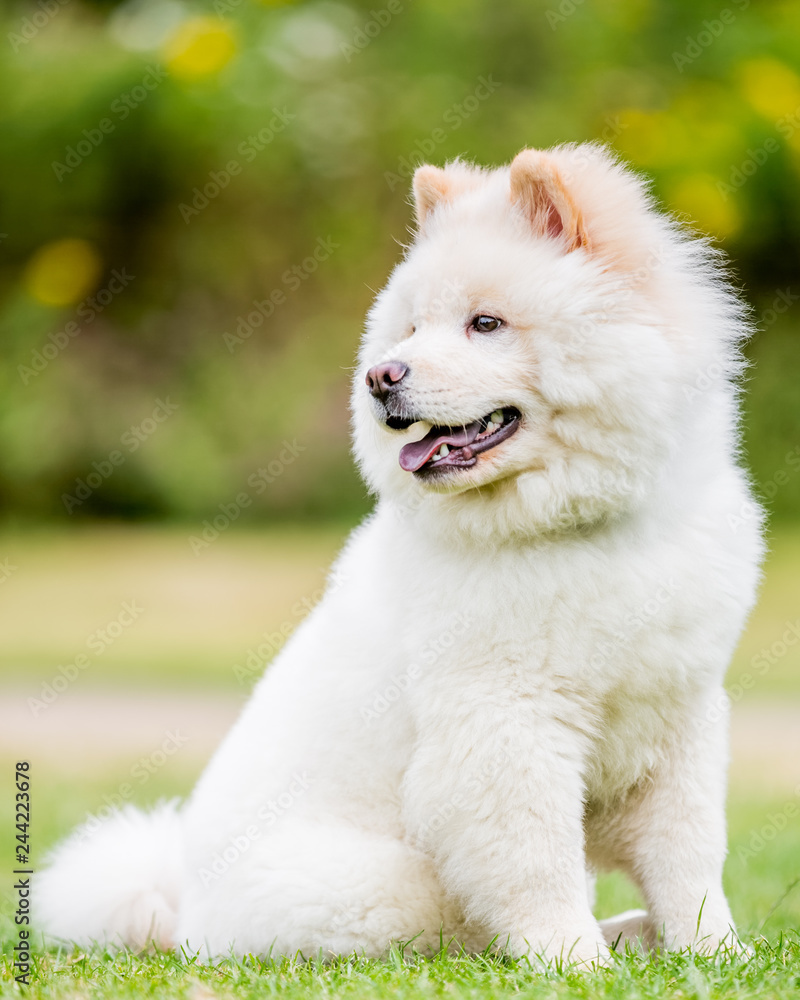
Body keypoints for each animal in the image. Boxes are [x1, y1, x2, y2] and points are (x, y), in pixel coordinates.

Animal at [37, 145, 764, 964]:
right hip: (398, 883)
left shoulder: (680, 718)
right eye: (412, 328)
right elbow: (539, 865)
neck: (579, 524)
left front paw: (717, 955)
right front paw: (573, 964)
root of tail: (181, 911)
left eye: (486, 323)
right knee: (463, 929)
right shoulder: (505, 728)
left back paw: (634, 933)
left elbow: (689, 859)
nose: (381, 375)